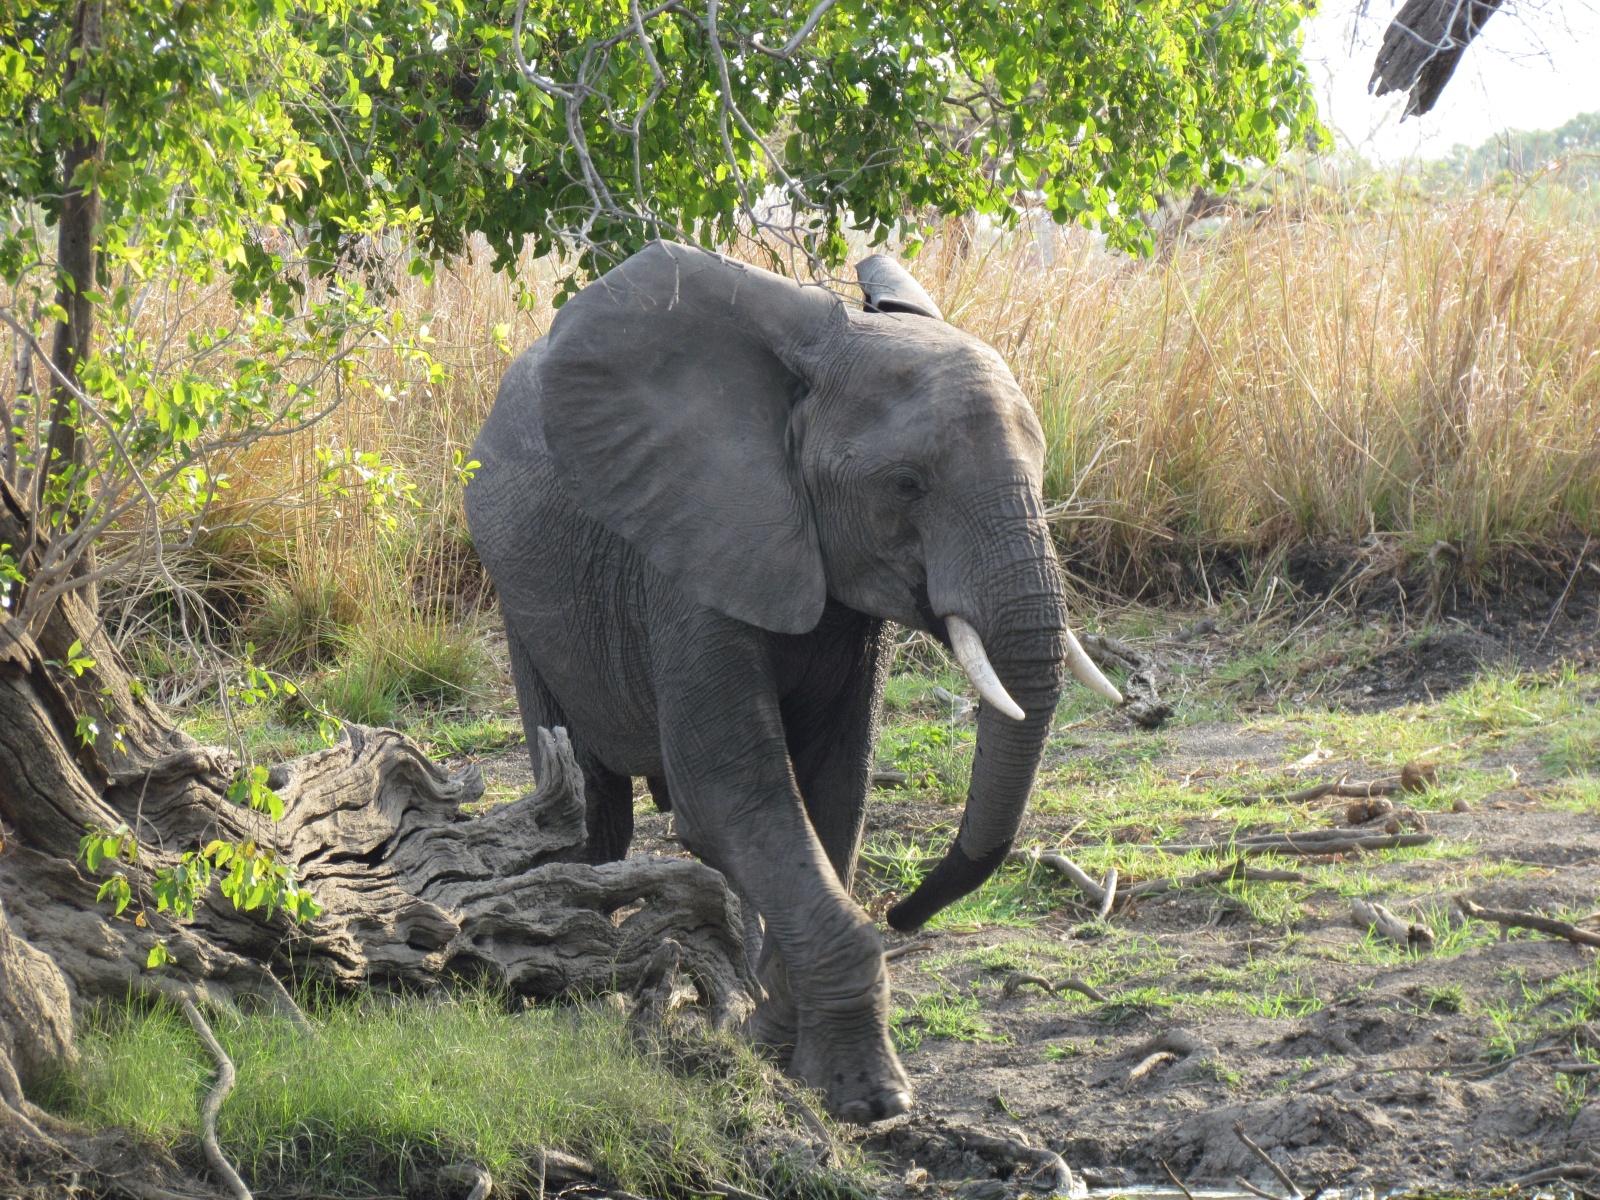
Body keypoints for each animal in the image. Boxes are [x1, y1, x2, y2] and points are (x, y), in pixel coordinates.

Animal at [464, 242, 1121, 1123]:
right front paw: (870, 1098)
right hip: (520, 598)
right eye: (907, 484)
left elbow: (833, 793)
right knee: (588, 811)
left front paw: (774, 1045)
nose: (903, 911)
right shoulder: (696, 550)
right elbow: (733, 797)